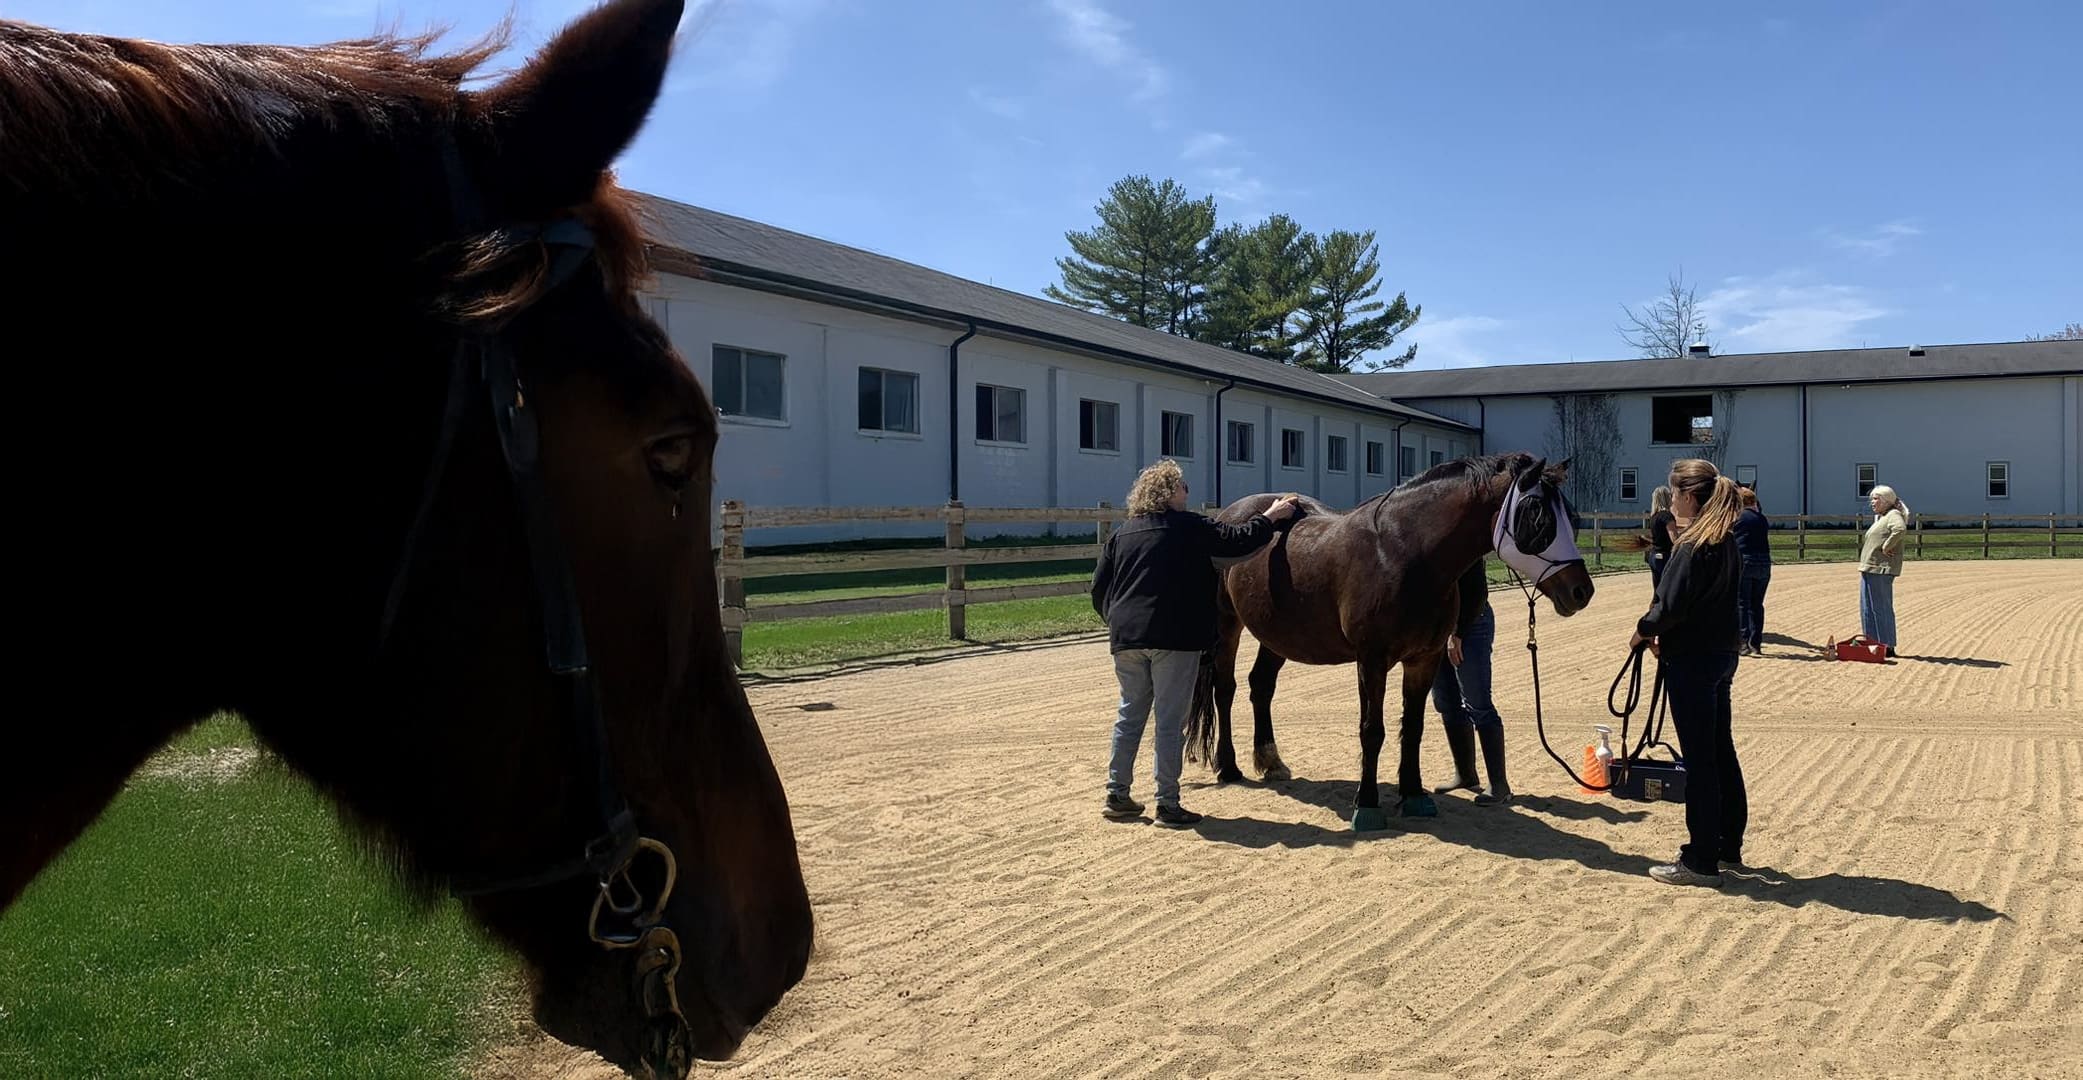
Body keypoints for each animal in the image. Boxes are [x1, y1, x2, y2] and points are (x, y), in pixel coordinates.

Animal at [1184, 453, 1596, 829]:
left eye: (1572, 517)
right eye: (1538, 517)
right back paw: (1228, 767)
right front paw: (1366, 805)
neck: (1402, 553)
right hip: (1227, 625)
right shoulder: (1372, 660)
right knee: (1225, 689)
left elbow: (1412, 728)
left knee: (1261, 686)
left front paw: (1413, 796)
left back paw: (1270, 761)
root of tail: (1231, 514)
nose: (1581, 591)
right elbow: (1373, 730)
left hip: (1279, 635)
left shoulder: (1424, 660)